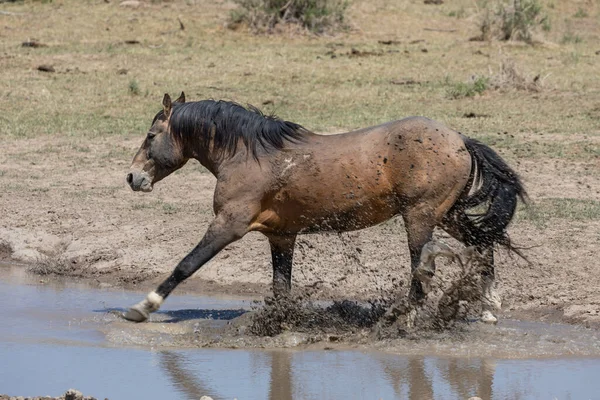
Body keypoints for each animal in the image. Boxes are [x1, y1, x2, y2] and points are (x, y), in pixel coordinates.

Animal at [123, 92, 524, 324]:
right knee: (484, 243)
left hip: (421, 217)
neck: (250, 154)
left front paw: (142, 307)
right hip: (448, 214)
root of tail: (460, 140)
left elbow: (186, 264)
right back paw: (489, 306)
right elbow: (281, 287)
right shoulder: (281, 236)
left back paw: (402, 315)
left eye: (150, 136)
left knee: (423, 271)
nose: (132, 177)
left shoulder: (228, 225)